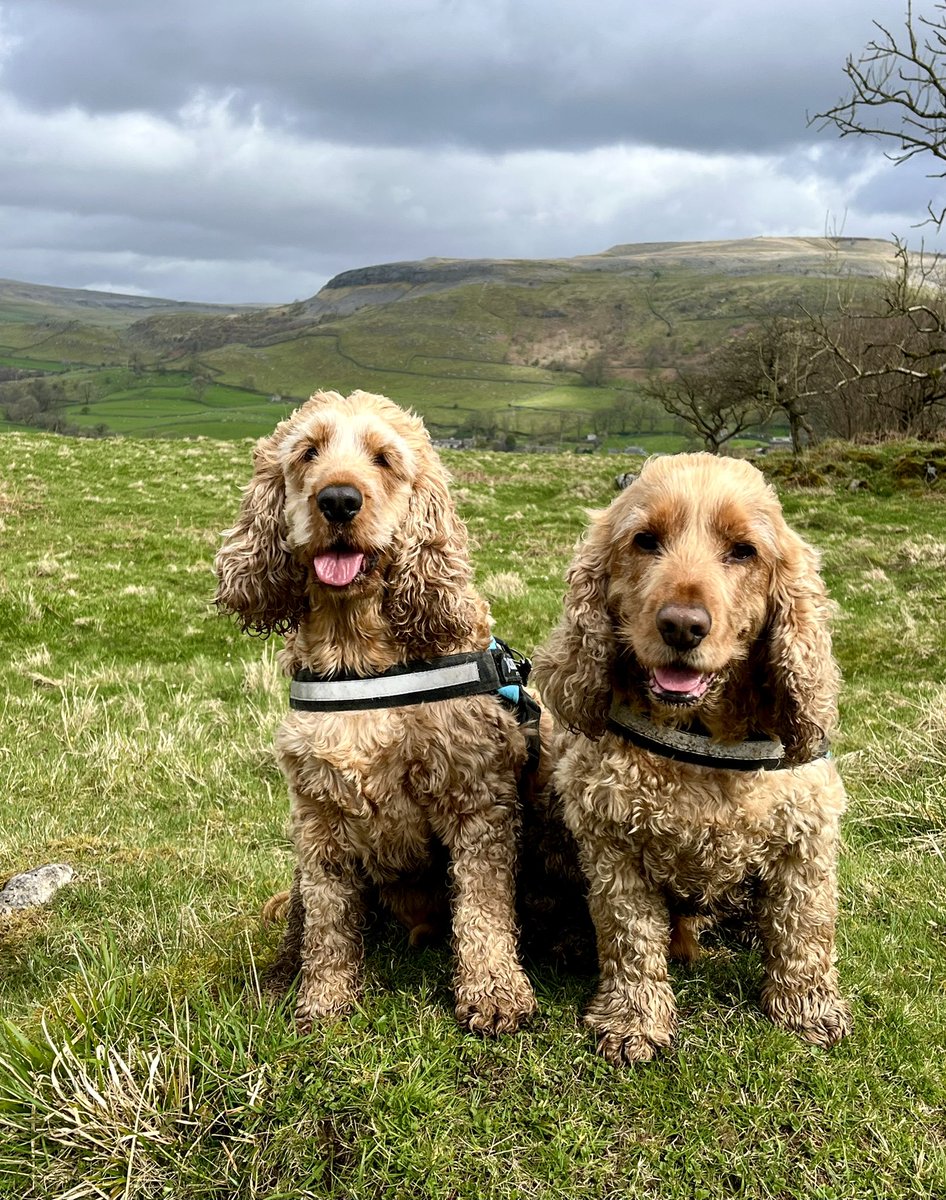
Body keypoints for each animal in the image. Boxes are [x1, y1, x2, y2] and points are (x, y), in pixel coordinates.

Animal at [535, 453, 854, 1065]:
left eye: (744, 551)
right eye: (645, 541)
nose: (682, 625)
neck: (701, 738)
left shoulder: (805, 832)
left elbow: (805, 926)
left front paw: (808, 1008)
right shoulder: (612, 841)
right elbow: (631, 938)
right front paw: (634, 1021)